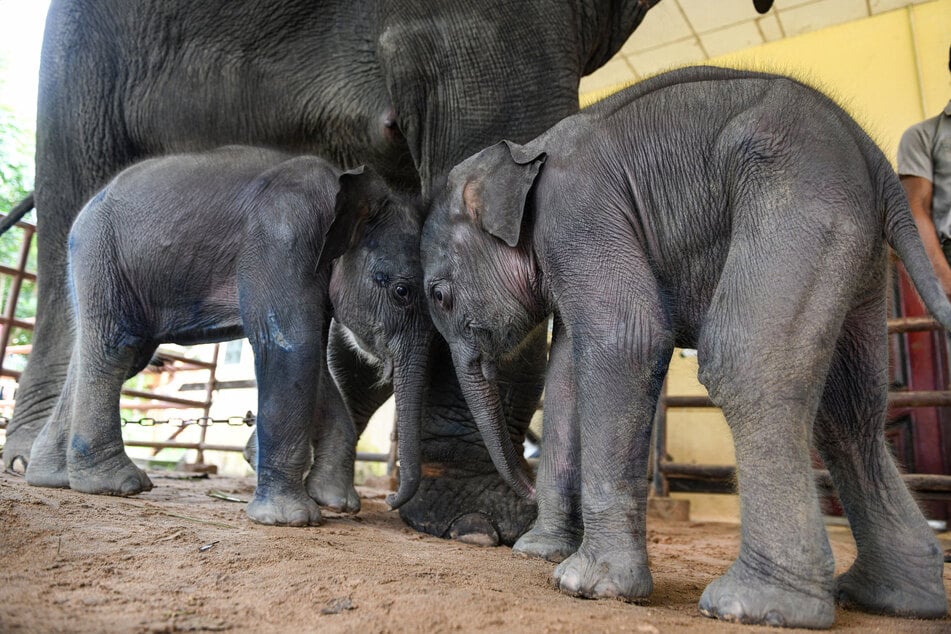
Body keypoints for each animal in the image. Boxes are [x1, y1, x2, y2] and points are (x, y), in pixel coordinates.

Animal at [27, 146, 432, 524]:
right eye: (402, 292)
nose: (391, 500)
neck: (344, 187)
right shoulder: (282, 237)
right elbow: (291, 346)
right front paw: (290, 519)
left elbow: (314, 358)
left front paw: (336, 502)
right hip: (101, 252)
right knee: (118, 347)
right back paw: (118, 484)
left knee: (107, 352)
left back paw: (52, 477)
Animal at [422, 65, 951, 628]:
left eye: (440, 296)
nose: (521, 484)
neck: (525, 152)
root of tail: (874, 158)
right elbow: (565, 381)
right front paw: (539, 553)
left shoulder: (578, 215)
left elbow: (626, 339)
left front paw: (584, 585)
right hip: (859, 248)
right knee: (848, 410)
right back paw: (892, 597)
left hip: (799, 197)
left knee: (745, 364)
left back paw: (751, 606)